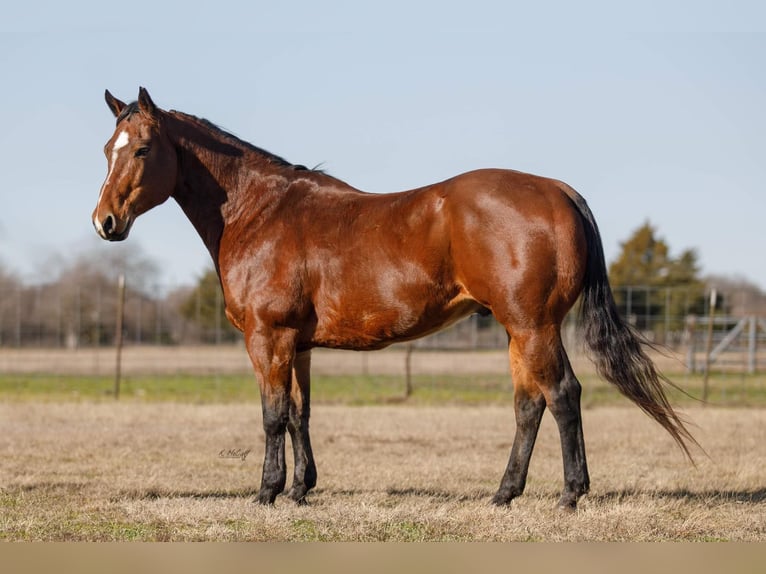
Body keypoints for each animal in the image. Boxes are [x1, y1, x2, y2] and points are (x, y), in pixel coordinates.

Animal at [90, 88, 696, 510]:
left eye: (142, 148)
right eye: (104, 151)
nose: (105, 222)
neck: (260, 211)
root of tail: (559, 191)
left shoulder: (269, 337)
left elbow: (272, 415)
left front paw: (267, 491)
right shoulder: (299, 345)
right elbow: (300, 414)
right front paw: (301, 490)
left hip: (534, 326)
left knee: (563, 395)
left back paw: (570, 493)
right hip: (517, 331)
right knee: (529, 405)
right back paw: (504, 494)